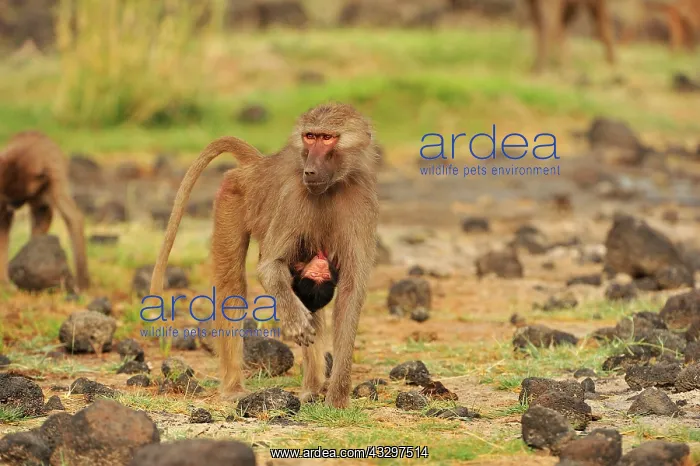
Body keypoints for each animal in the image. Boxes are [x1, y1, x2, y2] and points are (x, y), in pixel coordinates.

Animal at [0, 131, 90, 291]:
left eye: (17, 200)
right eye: (11, 199)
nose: (11, 206)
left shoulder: (53, 178)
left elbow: (73, 217)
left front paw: (82, 284)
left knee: (42, 213)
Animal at [149, 102, 379, 408]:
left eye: (328, 138)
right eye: (310, 137)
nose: (310, 171)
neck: (332, 187)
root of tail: (257, 166)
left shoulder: (362, 203)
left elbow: (351, 292)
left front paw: (337, 397)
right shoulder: (293, 197)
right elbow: (270, 267)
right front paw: (294, 321)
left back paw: (312, 387)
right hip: (231, 197)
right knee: (232, 288)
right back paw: (234, 388)